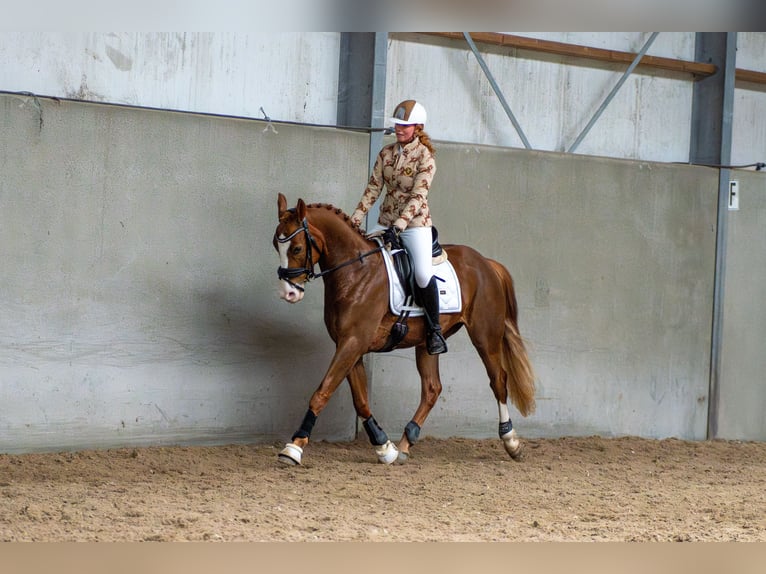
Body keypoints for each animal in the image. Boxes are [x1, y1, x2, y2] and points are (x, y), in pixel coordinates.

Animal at [272, 195, 536, 468]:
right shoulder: (350, 345)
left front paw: (293, 448)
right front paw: (384, 447)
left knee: (498, 381)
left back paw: (511, 441)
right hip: (428, 343)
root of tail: (486, 263)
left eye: (296, 249)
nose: (288, 293)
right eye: (275, 245)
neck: (356, 272)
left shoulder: (352, 342)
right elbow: (361, 400)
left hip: (486, 337)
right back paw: (405, 444)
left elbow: (322, 392)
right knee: (432, 388)